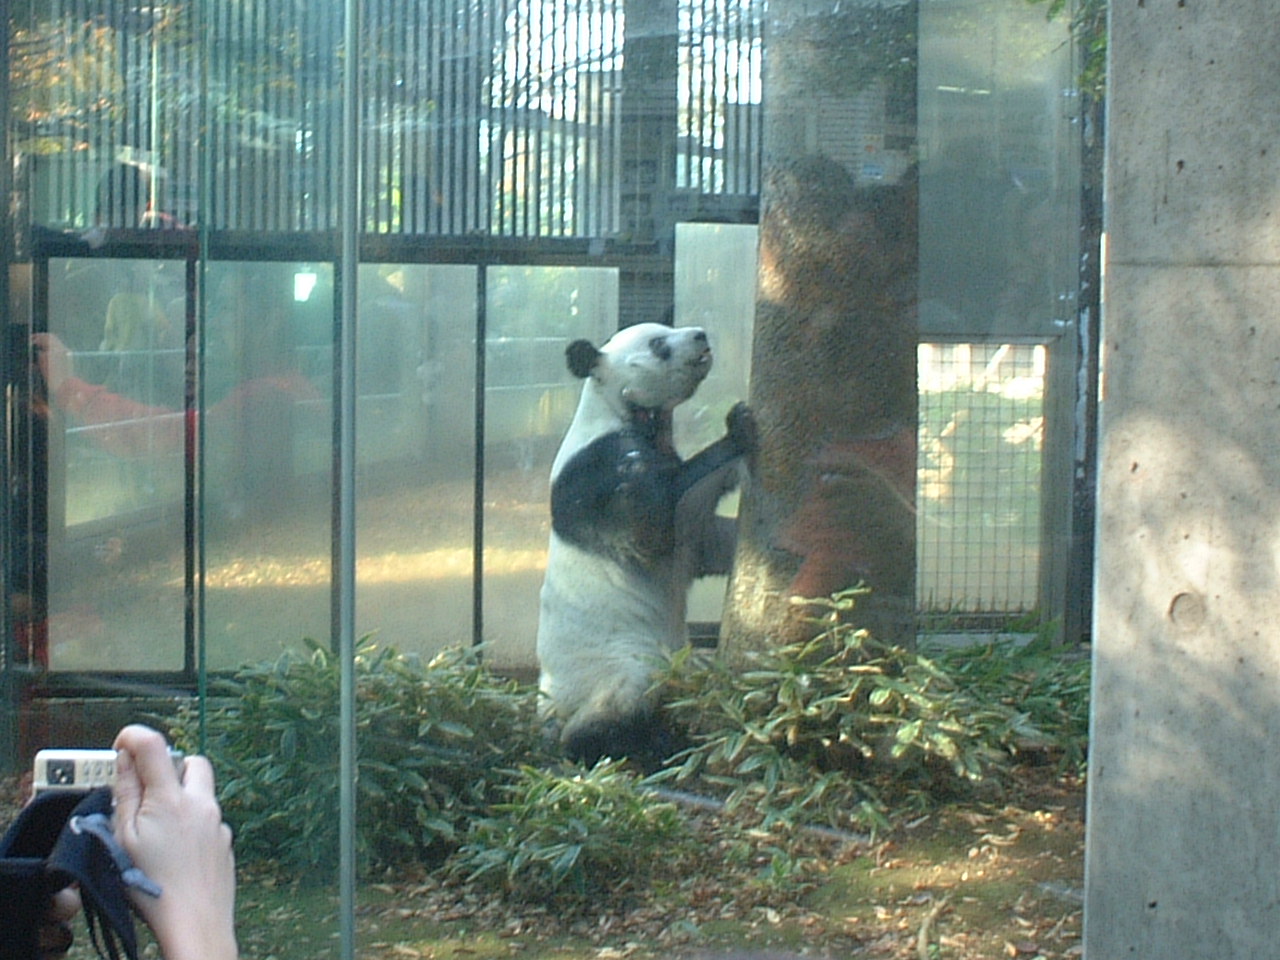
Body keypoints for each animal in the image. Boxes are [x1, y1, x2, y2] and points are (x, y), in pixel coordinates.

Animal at [535, 321, 752, 768]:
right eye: (658, 344)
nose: (701, 335)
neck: (613, 407)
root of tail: (550, 706)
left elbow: (703, 539)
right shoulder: (601, 473)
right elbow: (653, 524)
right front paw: (738, 426)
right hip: (613, 660)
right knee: (625, 695)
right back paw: (625, 743)